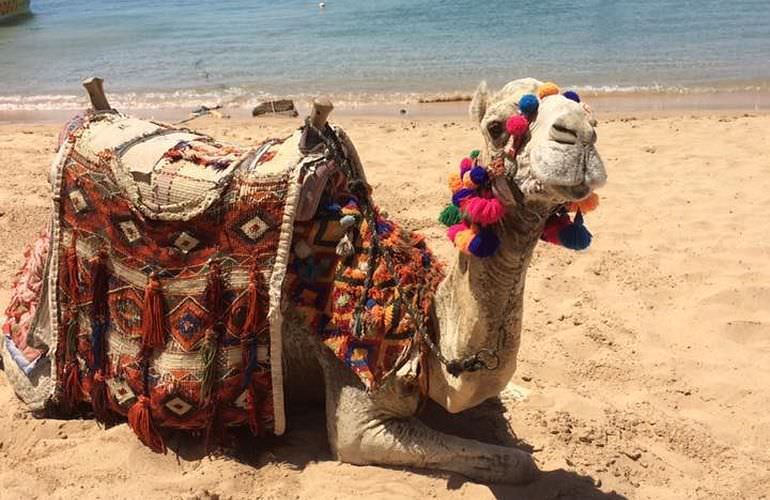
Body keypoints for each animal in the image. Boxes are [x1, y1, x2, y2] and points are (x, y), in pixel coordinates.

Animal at [3, 77, 604, 484]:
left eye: (588, 117)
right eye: (499, 126)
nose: (579, 135)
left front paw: (520, 393)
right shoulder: (360, 411)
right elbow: (517, 465)